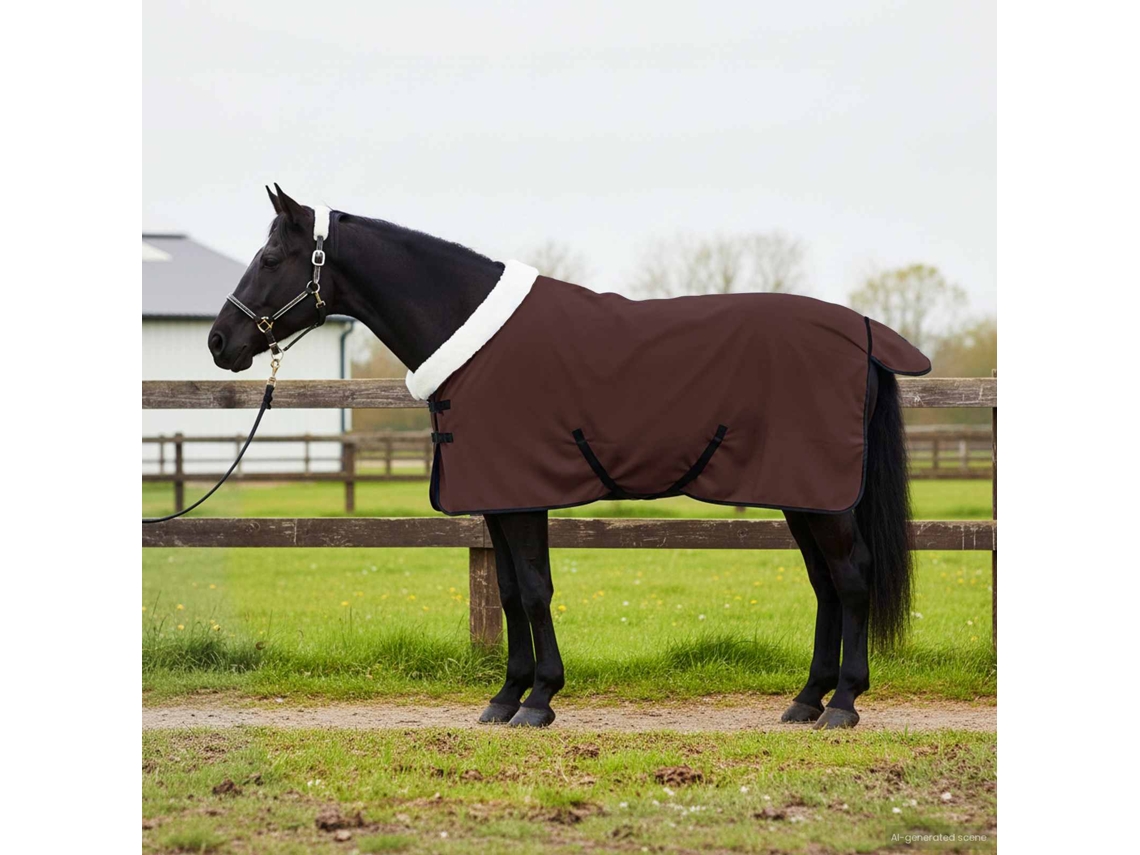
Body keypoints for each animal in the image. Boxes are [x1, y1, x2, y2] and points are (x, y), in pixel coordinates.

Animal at [208, 185, 928, 730]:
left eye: (271, 255)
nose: (219, 340)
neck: (472, 337)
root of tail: (865, 334)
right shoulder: (497, 500)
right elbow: (506, 592)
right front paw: (506, 697)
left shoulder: (523, 496)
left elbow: (533, 589)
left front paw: (540, 699)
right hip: (802, 493)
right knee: (825, 583)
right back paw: (806, 699)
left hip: (824, 496)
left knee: (852, 577)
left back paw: (842, 703)